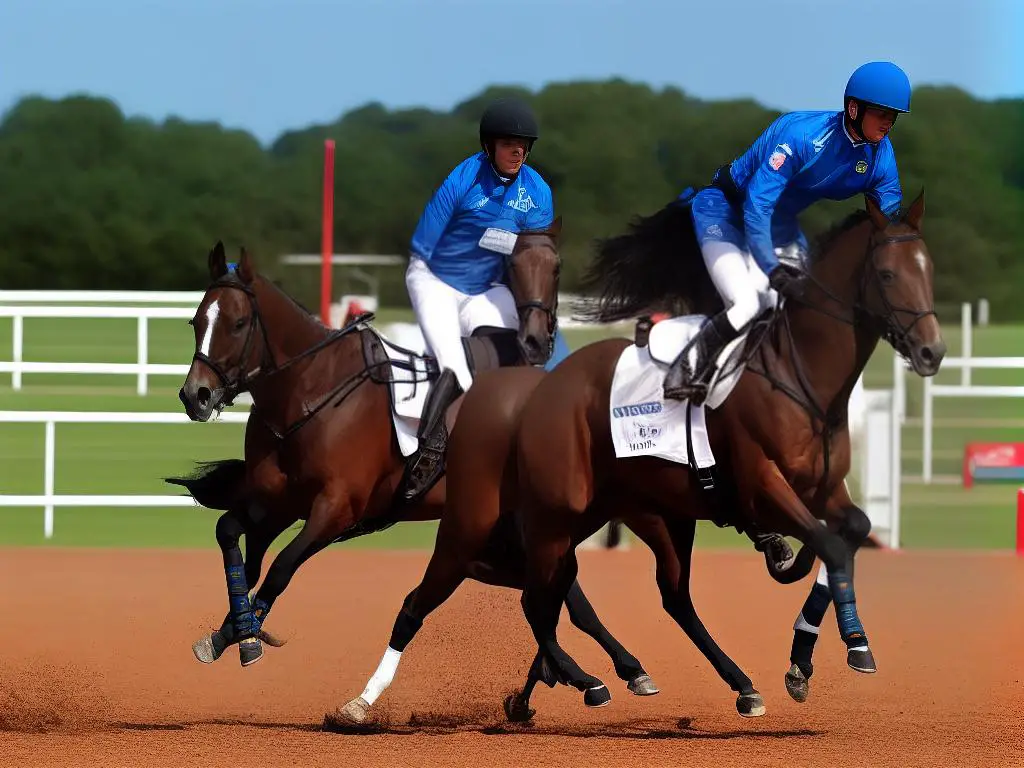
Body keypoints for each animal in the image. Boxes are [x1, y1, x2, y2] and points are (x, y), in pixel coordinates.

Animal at [166, 228, 651, 716]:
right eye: (195, 321)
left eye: (237, 324)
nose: (197, 395)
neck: (309, 392)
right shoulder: (276, 503)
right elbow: (233, 539)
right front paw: (233, 630)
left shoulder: (335, 510)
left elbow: (281, 568)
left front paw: (246, 634)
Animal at [507, 191, 946, 716]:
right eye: (887, 274)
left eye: (928, 269)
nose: (932, 352)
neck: (801, 376)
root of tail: (548, 383)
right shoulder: (763, 487)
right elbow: (831, 543)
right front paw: (851, 643)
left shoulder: (822, 488)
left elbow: (850, 532)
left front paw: (805, 656)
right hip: (566, 512)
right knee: (546, 593)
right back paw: (576, 679)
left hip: (649, 513)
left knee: (664, 596)